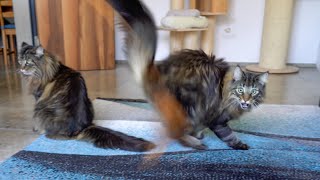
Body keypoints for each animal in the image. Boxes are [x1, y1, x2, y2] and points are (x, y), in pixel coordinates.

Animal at [17, 42, 155, 152]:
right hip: (90, 102)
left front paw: (35, 129)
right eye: (20, 61)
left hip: (40, 110)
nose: (21, 69)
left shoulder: (38, 97)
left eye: (28, 62)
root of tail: (82, 128)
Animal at [106, 0, 268, 150]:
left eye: (254, 91)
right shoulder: (217, 119)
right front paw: (239, 145)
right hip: (189, 105)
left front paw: (199, 134)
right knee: (175, 133)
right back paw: (195, 143)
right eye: (240, 90)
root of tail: (152, 73)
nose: (246, 100)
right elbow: (229, 134)